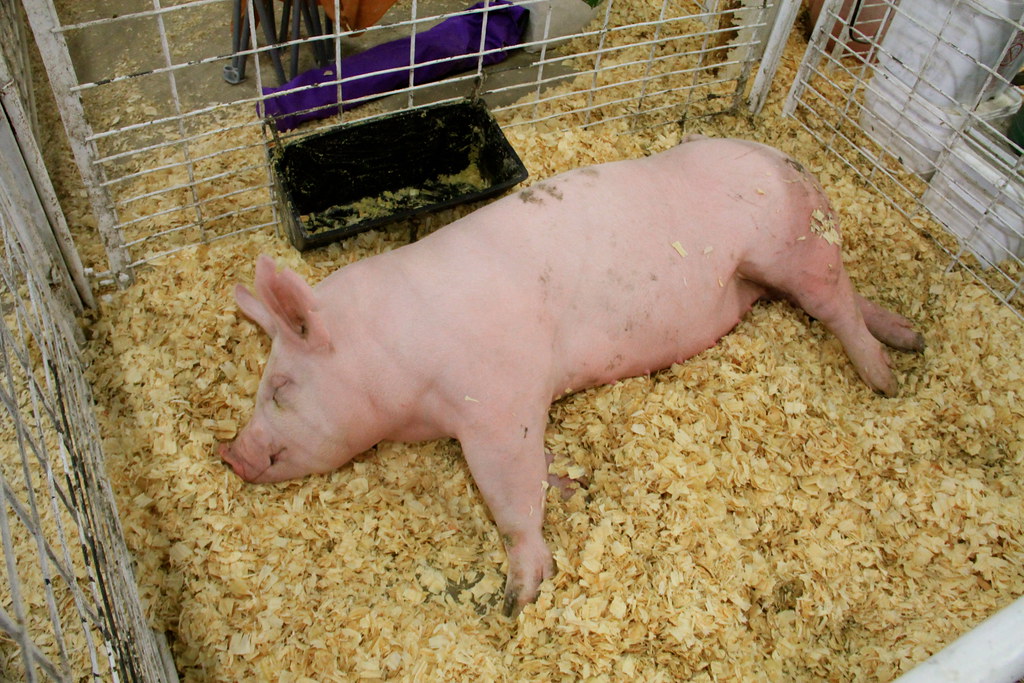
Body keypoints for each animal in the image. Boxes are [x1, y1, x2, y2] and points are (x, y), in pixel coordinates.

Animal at [220, 135, 924, 616]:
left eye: (280, 390)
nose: (231, 454)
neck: (399, 361)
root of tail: (789, 158)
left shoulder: (499, 404)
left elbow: (511, 495)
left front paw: (519, 597)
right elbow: (540, 471)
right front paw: (570, 486)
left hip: (794, 249)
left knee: (839, 305)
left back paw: (885, 378)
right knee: (851, 296)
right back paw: (910, 338)